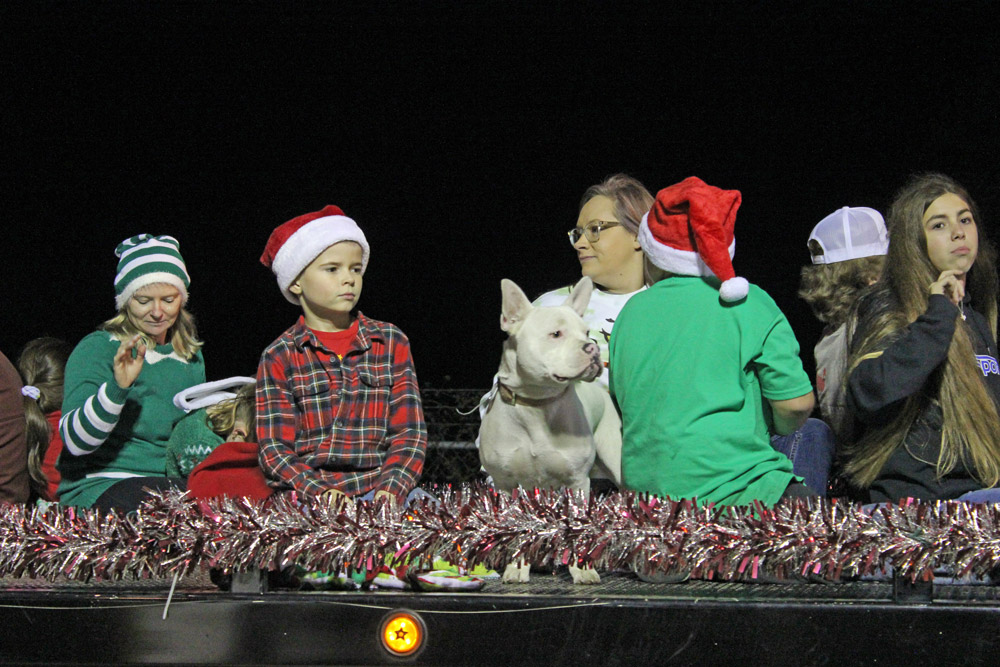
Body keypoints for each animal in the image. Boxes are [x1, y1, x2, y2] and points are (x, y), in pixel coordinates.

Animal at [480, 276, 620, 584]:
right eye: (556, 334)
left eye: (586, 333)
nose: (592, 349)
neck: (537, 405)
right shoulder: (506, 485)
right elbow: (515, 529)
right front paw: (517, 567)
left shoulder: (577, 483)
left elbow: (579, 528)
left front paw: (583, 569)